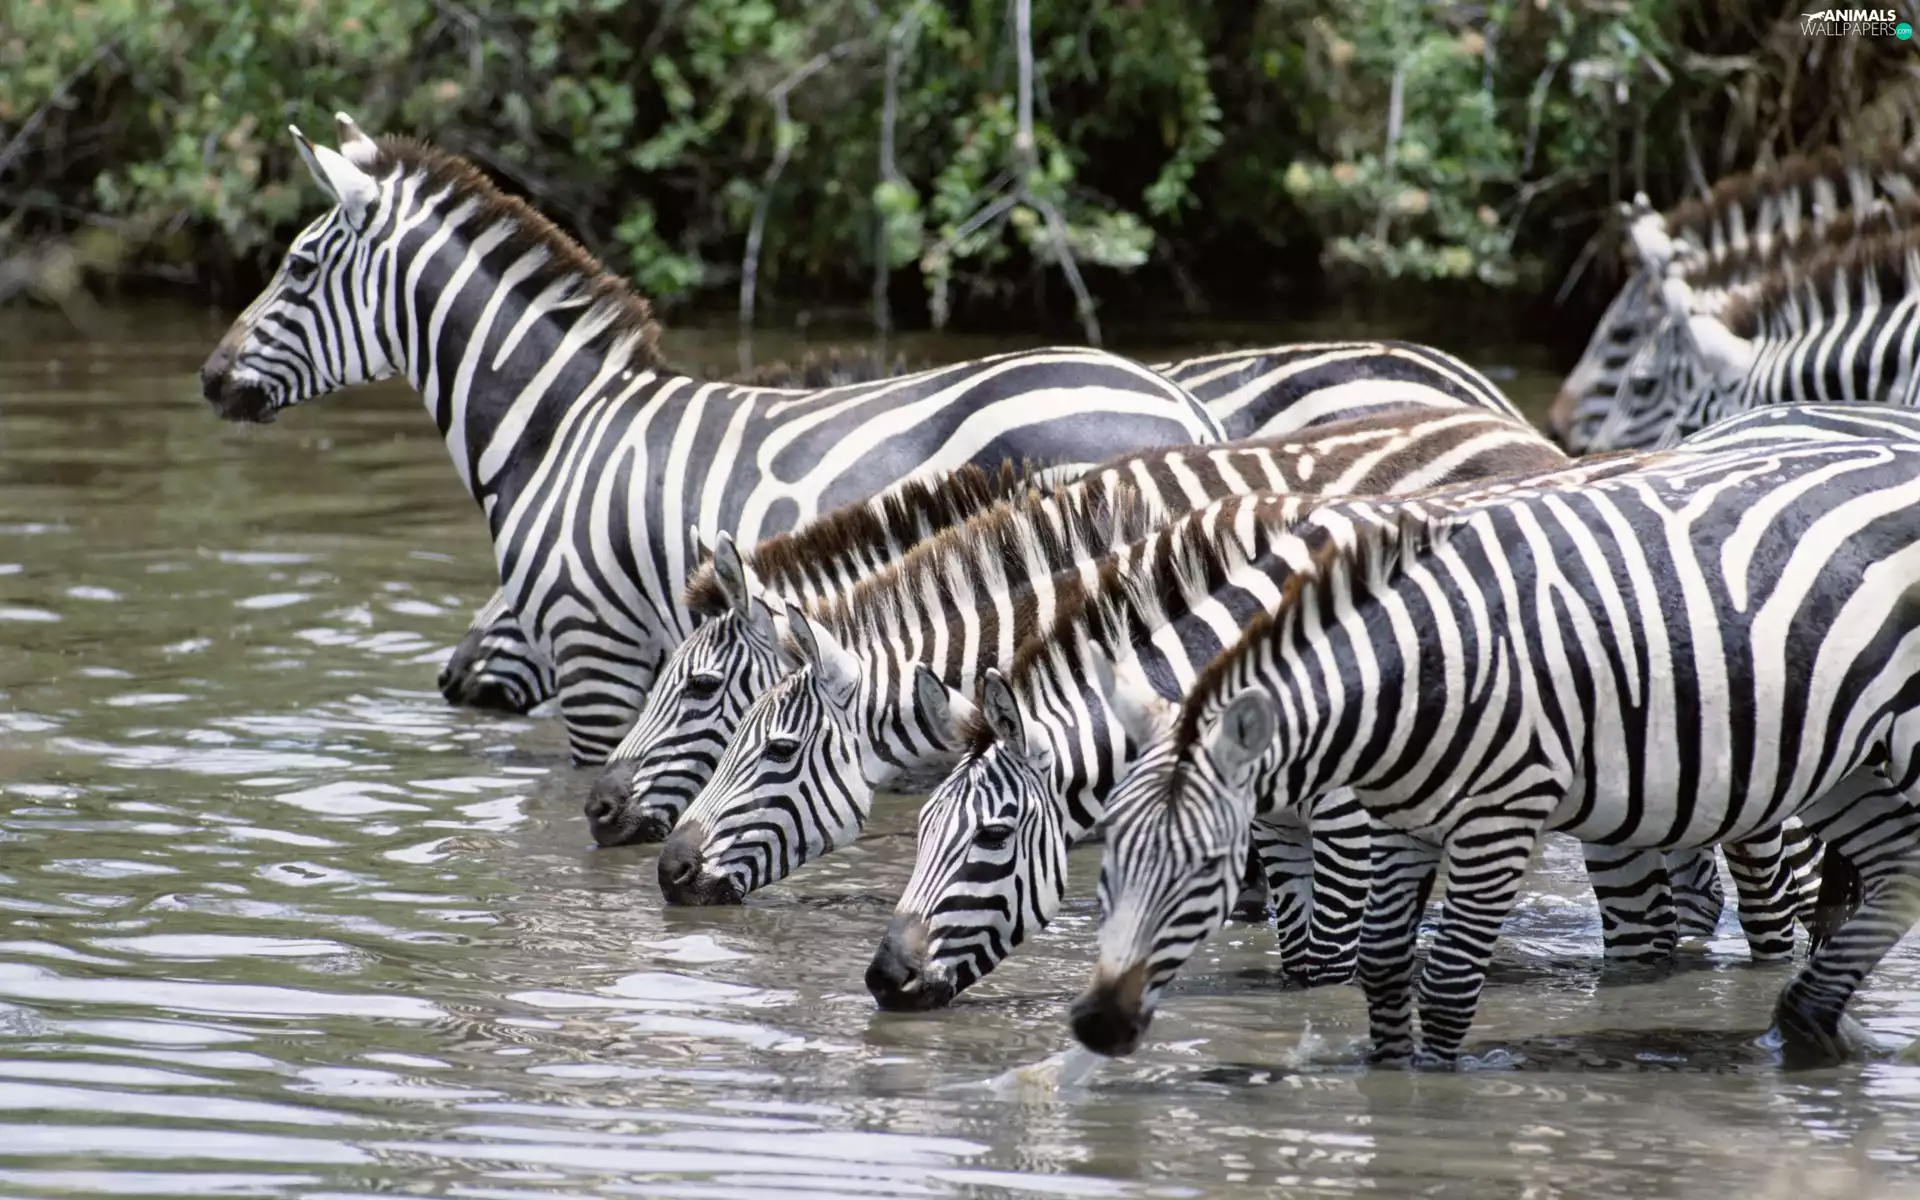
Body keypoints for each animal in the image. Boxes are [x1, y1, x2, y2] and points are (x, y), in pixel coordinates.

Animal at [869, 441, 1822, 1012]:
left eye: (993, 838)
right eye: (918, 831)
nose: (883, 979)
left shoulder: (1351, 824)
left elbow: (1331, 961)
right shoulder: (1278, 827)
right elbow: (1299, 955)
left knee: (1779, 910)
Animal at [1069, 435, 1920, 1068]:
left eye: (1210, 867)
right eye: (1108, 856)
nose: (1097, 1026)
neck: (1420, 668)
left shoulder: (1501, 817)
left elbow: (1446, 983)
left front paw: (1435, 1096)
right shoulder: (1404, 821)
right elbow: (1383, 965)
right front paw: (1386, 1081)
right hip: (1844, 760)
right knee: (1895, 867)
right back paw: (1810, 1022)